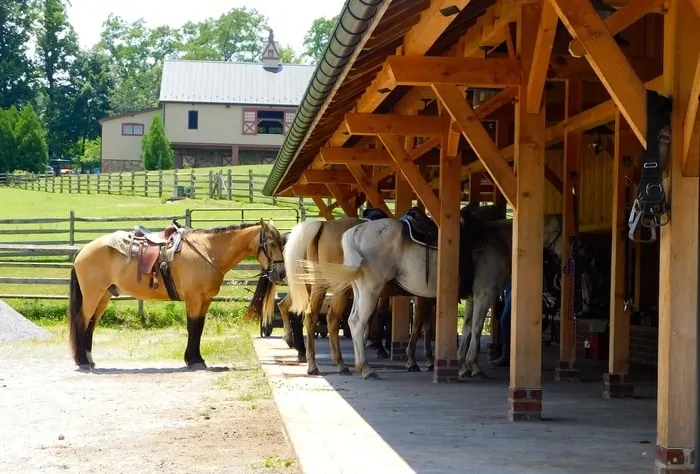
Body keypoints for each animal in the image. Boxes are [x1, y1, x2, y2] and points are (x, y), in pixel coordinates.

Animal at [65, 218, 284, 370]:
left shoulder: (205, 300)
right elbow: (193, 327)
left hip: (103, 296)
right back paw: (83, 361)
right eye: (271, 243)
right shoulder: (194, 299)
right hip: (93, 295)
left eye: (282, 243)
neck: (207, 251)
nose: (281, 273)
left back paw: (89, 360)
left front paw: (195, 358)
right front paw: (193, 360)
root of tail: (83, 250)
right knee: (81, 321)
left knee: (91, 324)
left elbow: (199, 327)